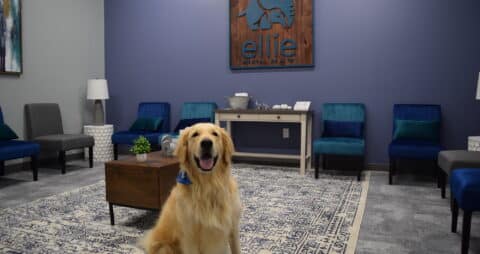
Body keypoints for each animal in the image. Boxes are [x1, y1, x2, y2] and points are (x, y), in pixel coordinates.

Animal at [142, 122, 240, 253]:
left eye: (215, 134)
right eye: (195, 134)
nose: (206, 143)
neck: (208, 185)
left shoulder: (233, 228)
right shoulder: (190, 237)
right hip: (165, 247)